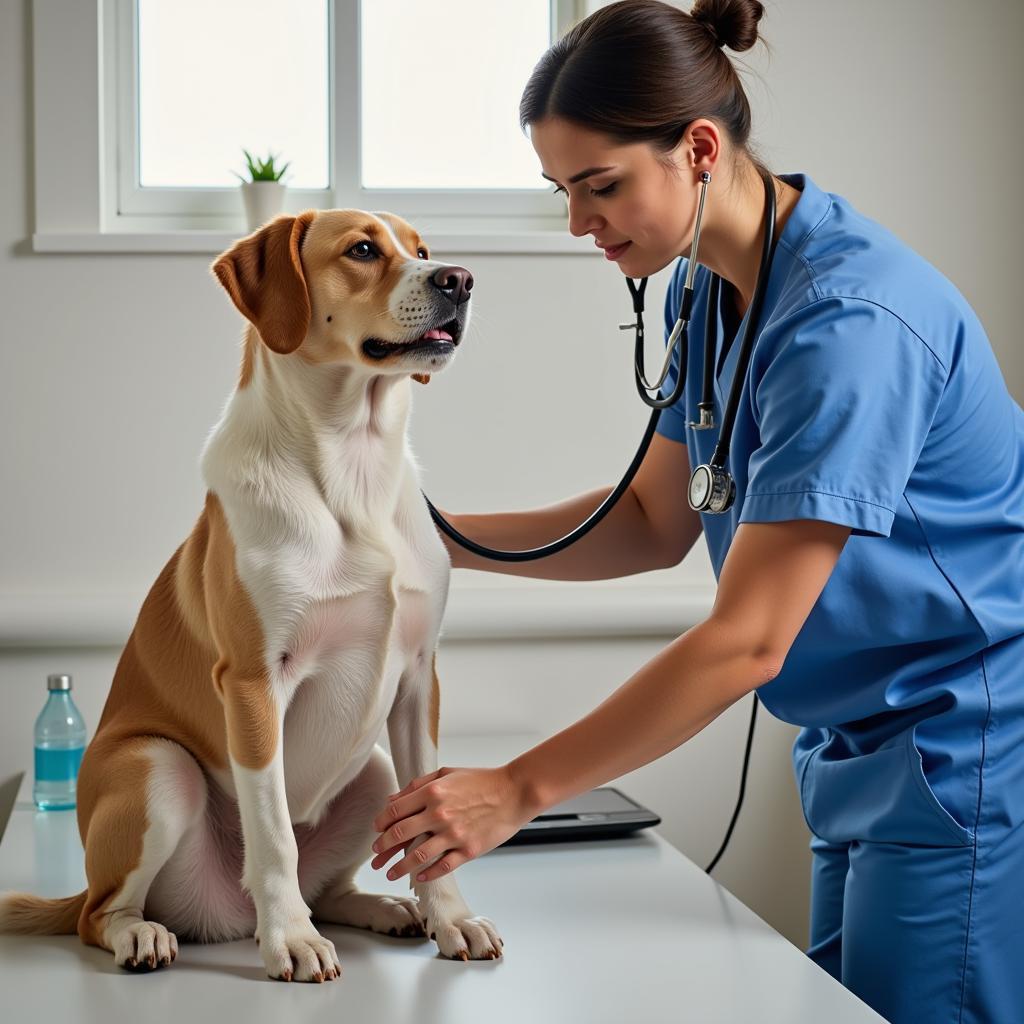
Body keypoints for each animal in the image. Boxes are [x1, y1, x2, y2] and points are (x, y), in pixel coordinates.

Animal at [0, 209, 503, 983]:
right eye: (363, 249)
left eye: (422, 249)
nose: (460, 279)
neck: (353, 468)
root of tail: (226, 918)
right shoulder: (255, 684)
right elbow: (274, 836)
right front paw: (290, 939)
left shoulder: (420, 680)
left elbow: (432, 831)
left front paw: (451, 918)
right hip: (158, 770)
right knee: (100, 913)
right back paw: (145, 935)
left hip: (374, 770)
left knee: (333, 885)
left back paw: (385, 908)